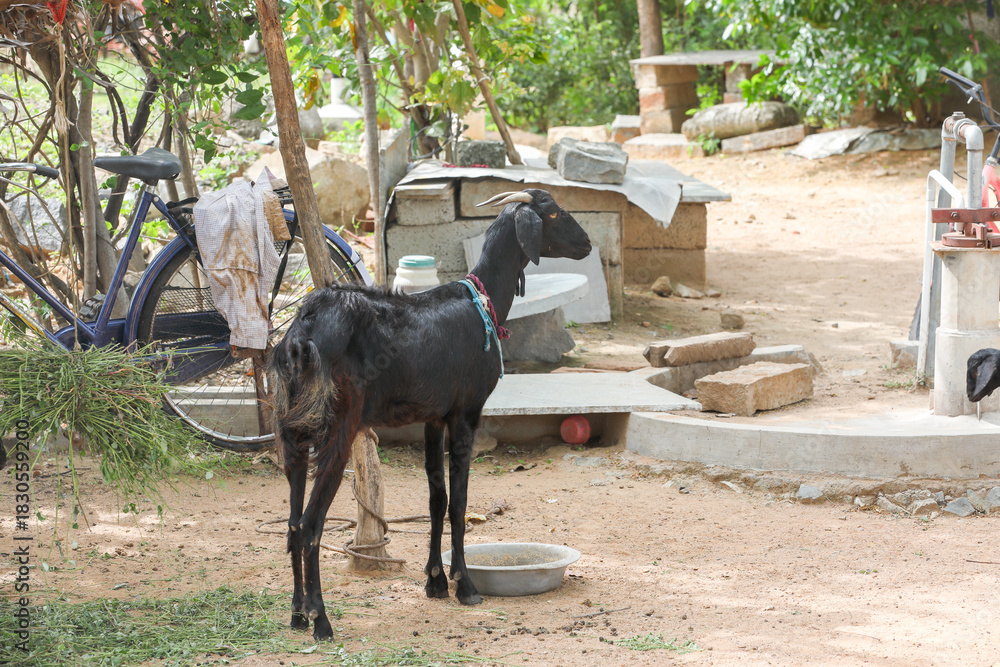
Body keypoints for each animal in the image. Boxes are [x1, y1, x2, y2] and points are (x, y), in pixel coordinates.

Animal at [270, 188, 592, 640]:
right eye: (555, 214)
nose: (588, 243)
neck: (482, 302)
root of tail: (301, 334)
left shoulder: (432, 417)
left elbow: (436, 498)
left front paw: (435, 580)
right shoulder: (466, 412)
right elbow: (459, 501)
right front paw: (465, 585)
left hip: (292, 433)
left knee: (293, 523)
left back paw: (298, 614)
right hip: (337, 427)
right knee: (312, 524)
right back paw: (321, 621)